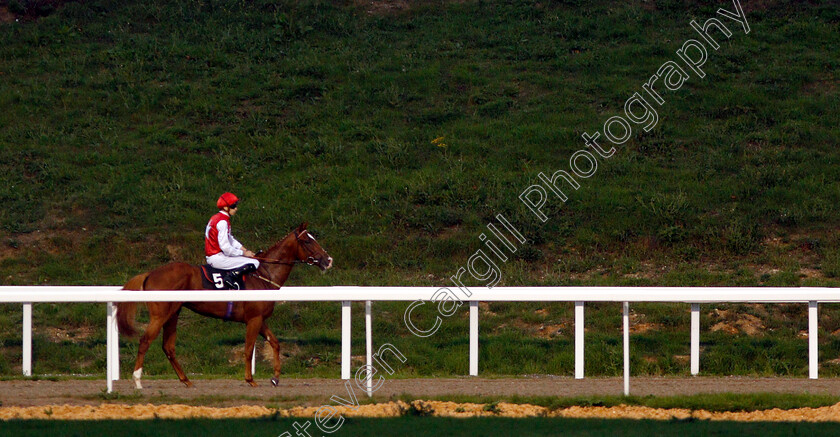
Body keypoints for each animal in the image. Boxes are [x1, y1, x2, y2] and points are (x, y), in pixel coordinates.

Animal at [116, 223, 334, 386]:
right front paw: (250, 379)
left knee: (168, 347)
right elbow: (248, 348)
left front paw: (275, 378)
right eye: (307, 240)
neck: (264, 275)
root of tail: (150, 273)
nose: (328, 259)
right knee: (145, 340)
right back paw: (137, 380)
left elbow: (275, 342)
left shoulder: (259, 319)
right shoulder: (254, 319)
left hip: (173, 314)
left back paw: (186, 380)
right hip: (160, 315)